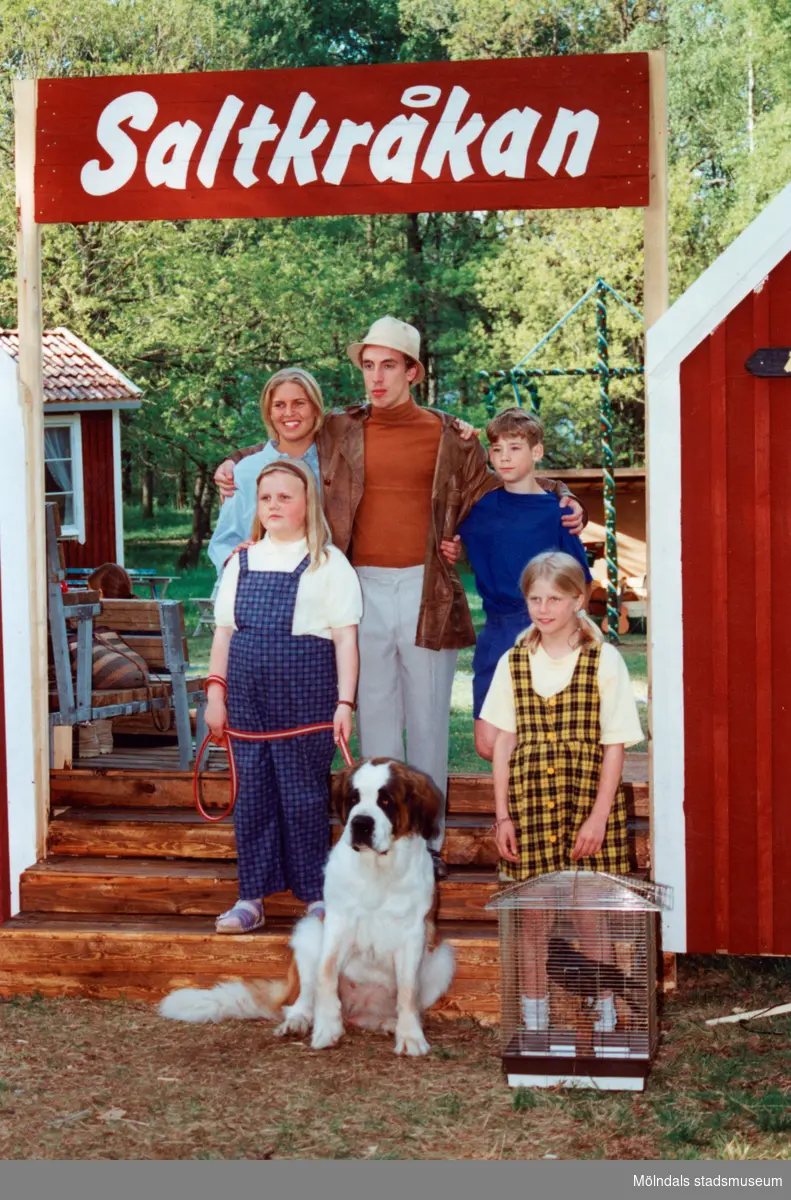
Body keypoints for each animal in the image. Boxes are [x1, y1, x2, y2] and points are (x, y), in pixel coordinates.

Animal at [159, 763, 458, 1056]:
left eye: (386, 800)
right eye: (353, 799)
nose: (360, 823)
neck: (377, 869)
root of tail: (357, 1011)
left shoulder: (413, 933)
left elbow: (408, 990)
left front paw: (410, 1037)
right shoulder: (336, 924)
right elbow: (325, 973)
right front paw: (327, 1028)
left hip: (442, 958)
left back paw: (388, 1023)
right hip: (310, 929)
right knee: (300, 1000)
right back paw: (299, 1021)